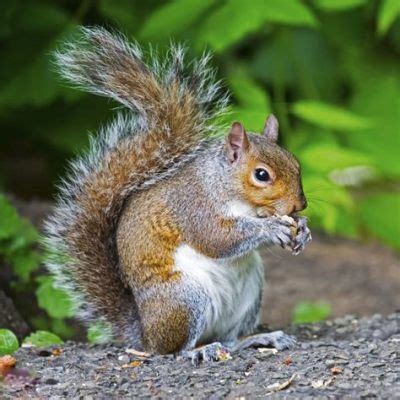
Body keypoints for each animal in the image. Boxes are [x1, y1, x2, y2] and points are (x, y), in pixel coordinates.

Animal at [44, 26, 312, 364]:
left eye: (296, 163)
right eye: (261, 175)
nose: (300, 204)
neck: (224, 186)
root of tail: (144, 333)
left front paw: (303, 230)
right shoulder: (193, 207)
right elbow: (216, 238)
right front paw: (271, 228)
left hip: (249, 295)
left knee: (230, 338)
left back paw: (257, 339)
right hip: (184, 299)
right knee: (172, 350)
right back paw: (199, 350)